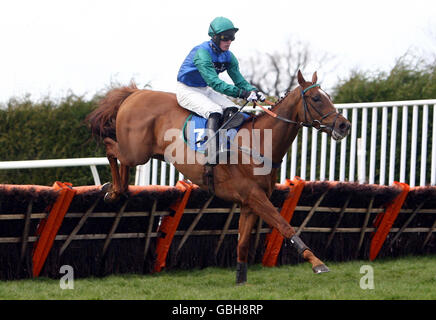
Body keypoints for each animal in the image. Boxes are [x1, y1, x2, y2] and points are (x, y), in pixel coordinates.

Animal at [86, 71, 350, 284]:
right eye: (316, 98)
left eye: (327, 95)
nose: (344, 125)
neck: (259, 141)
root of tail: (135, 93)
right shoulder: (255, 196)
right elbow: (284, 225)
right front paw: (317, 263)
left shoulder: (250, 202)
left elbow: (242, 243)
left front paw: (241, 280)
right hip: (136, 152)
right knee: (110, 148)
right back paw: (113, 189)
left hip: (139, 153)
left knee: (118, 160)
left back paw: (114, 190)